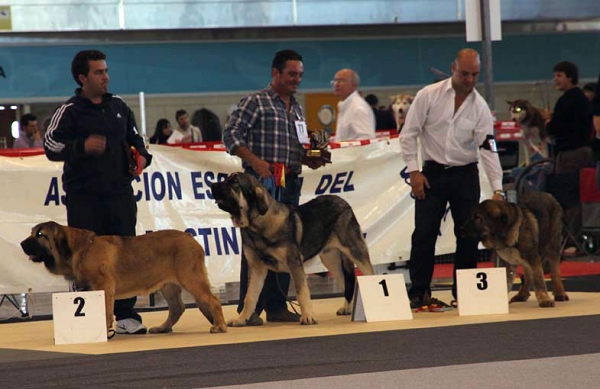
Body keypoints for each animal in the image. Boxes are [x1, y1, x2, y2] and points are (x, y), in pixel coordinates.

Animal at [21, 221, 226, 334]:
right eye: (31, 232)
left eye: (40, 234)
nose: (22, 243)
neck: (82, 249)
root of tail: (190, 238)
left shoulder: (104, 287)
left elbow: (105, 312)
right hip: (168, 286)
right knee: (177, 308)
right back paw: (162, 328)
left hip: (191, 278)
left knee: (213, 300)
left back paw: (219, 326)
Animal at [209, 173, 372, 324]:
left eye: (235, 182)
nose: (212, 185)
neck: (257, 223)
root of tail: (343, 202)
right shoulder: (256, 269)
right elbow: (249, 297)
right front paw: (242, 319)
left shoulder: (294, 264)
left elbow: (302, 293)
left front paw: (308, 317)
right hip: (331, 260)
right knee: (347, 283)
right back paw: (347, 308)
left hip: (355, 251)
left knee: (369, 274)